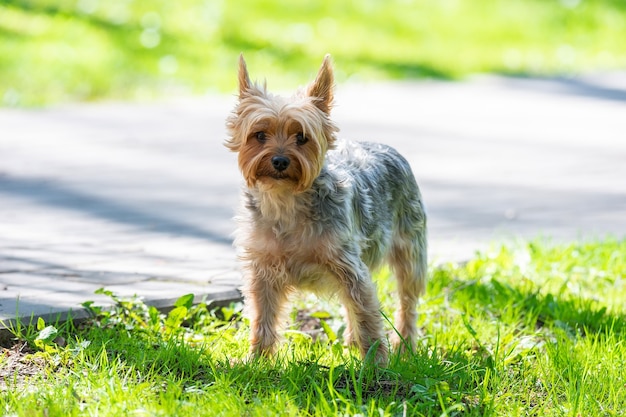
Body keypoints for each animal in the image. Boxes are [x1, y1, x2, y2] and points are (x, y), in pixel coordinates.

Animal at [223, 54, 424, 360]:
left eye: (302, 137)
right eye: (259, 135)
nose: (280, 160)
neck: (286, 201)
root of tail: (385, 147)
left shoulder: (350, 267)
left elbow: (367, 316)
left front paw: (376, 364)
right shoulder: (263, 271)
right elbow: (262, 318)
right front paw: (255, 360)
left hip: (410, 248)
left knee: (406, 299)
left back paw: (404, 346)